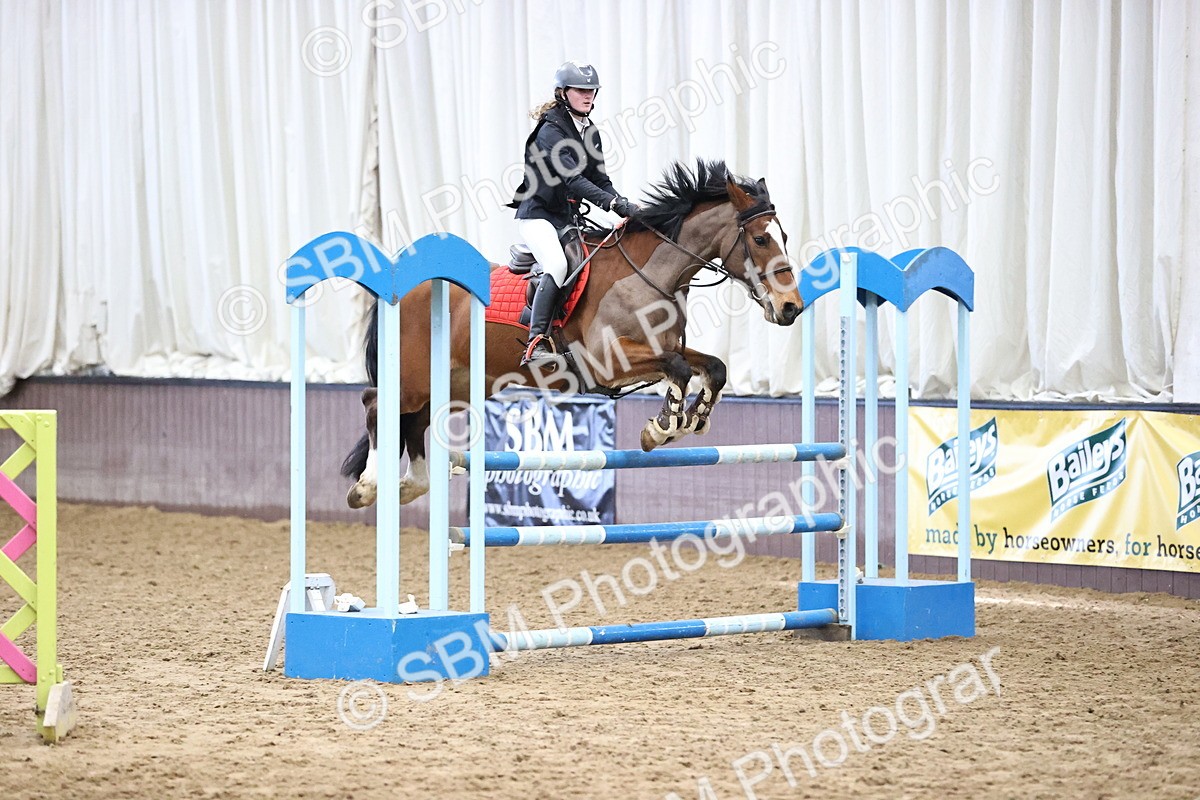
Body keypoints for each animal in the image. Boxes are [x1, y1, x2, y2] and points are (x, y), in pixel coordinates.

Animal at [341, 159, 803, 509]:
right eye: (760, 239)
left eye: (783, 235)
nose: (791, 307)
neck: (650, 276)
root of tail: (406, 288)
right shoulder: (607, 362)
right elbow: (677, 369)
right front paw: (665, 426)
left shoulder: (662, 348)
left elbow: (712, 367)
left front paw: (686, 420)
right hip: (414, 379)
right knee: (375, 404)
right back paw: (368, 487)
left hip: (458, 384)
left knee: (414, 421)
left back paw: (410, 486)